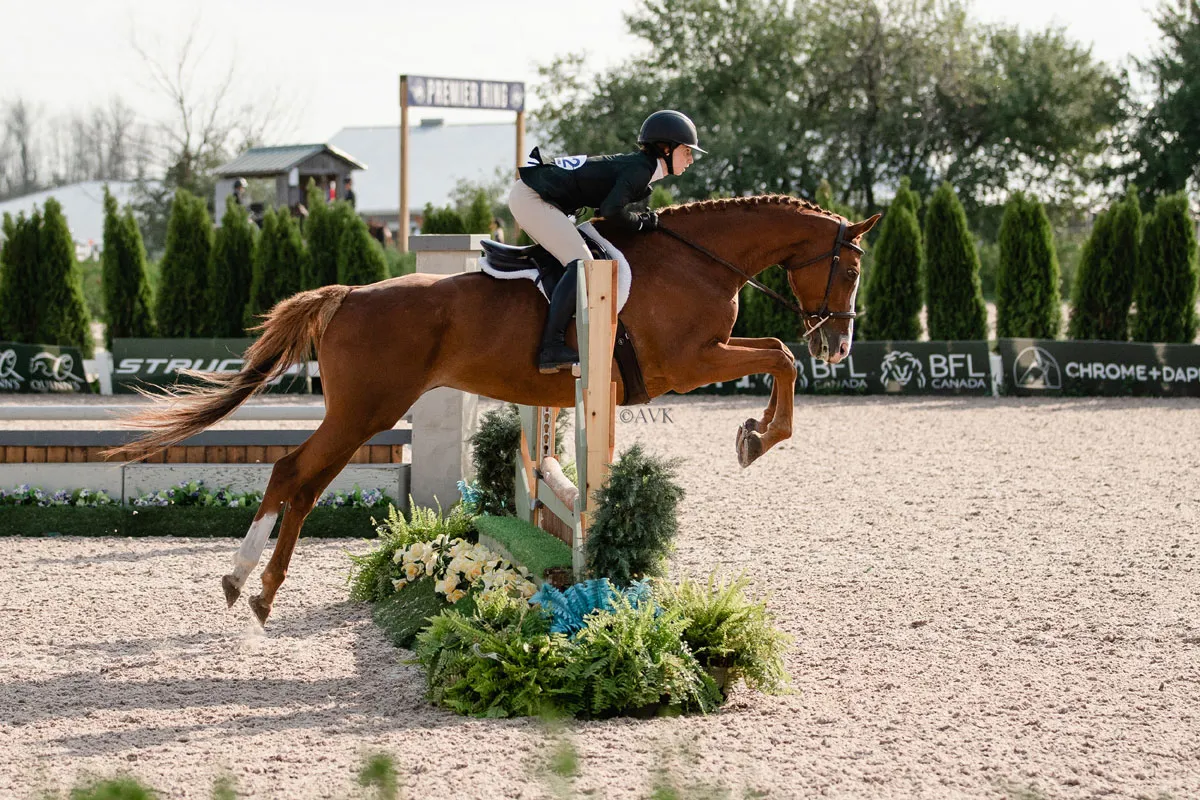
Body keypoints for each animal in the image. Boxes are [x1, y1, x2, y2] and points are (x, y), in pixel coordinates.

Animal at [114, 195, 879, 625]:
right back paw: (252, 585)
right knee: (294, 476)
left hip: (359, 414)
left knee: (296, 480)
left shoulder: (704, 356)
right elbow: (780, 355)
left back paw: (252, 586)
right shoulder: (688, 363)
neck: (700, 260)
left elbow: (775, 351)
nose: (838, 345)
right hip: (363, 413)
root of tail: (348, 295)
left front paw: (754, 431)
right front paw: (760, 436)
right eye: (848, 268)